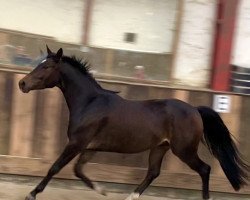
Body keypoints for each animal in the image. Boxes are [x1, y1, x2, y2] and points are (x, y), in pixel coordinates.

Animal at [18, 46, 249, 199]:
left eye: (47, 66)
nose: (22, 84)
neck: (89, 102)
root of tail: (195, 110)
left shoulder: (76, 143)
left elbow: (55, 167)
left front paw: (32, 194)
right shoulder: (89, 147)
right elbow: (78, 170)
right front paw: (102, 190)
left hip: (184, 150)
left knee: (204, 169)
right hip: (160, 147)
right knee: (153, 172)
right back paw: (131, 196)